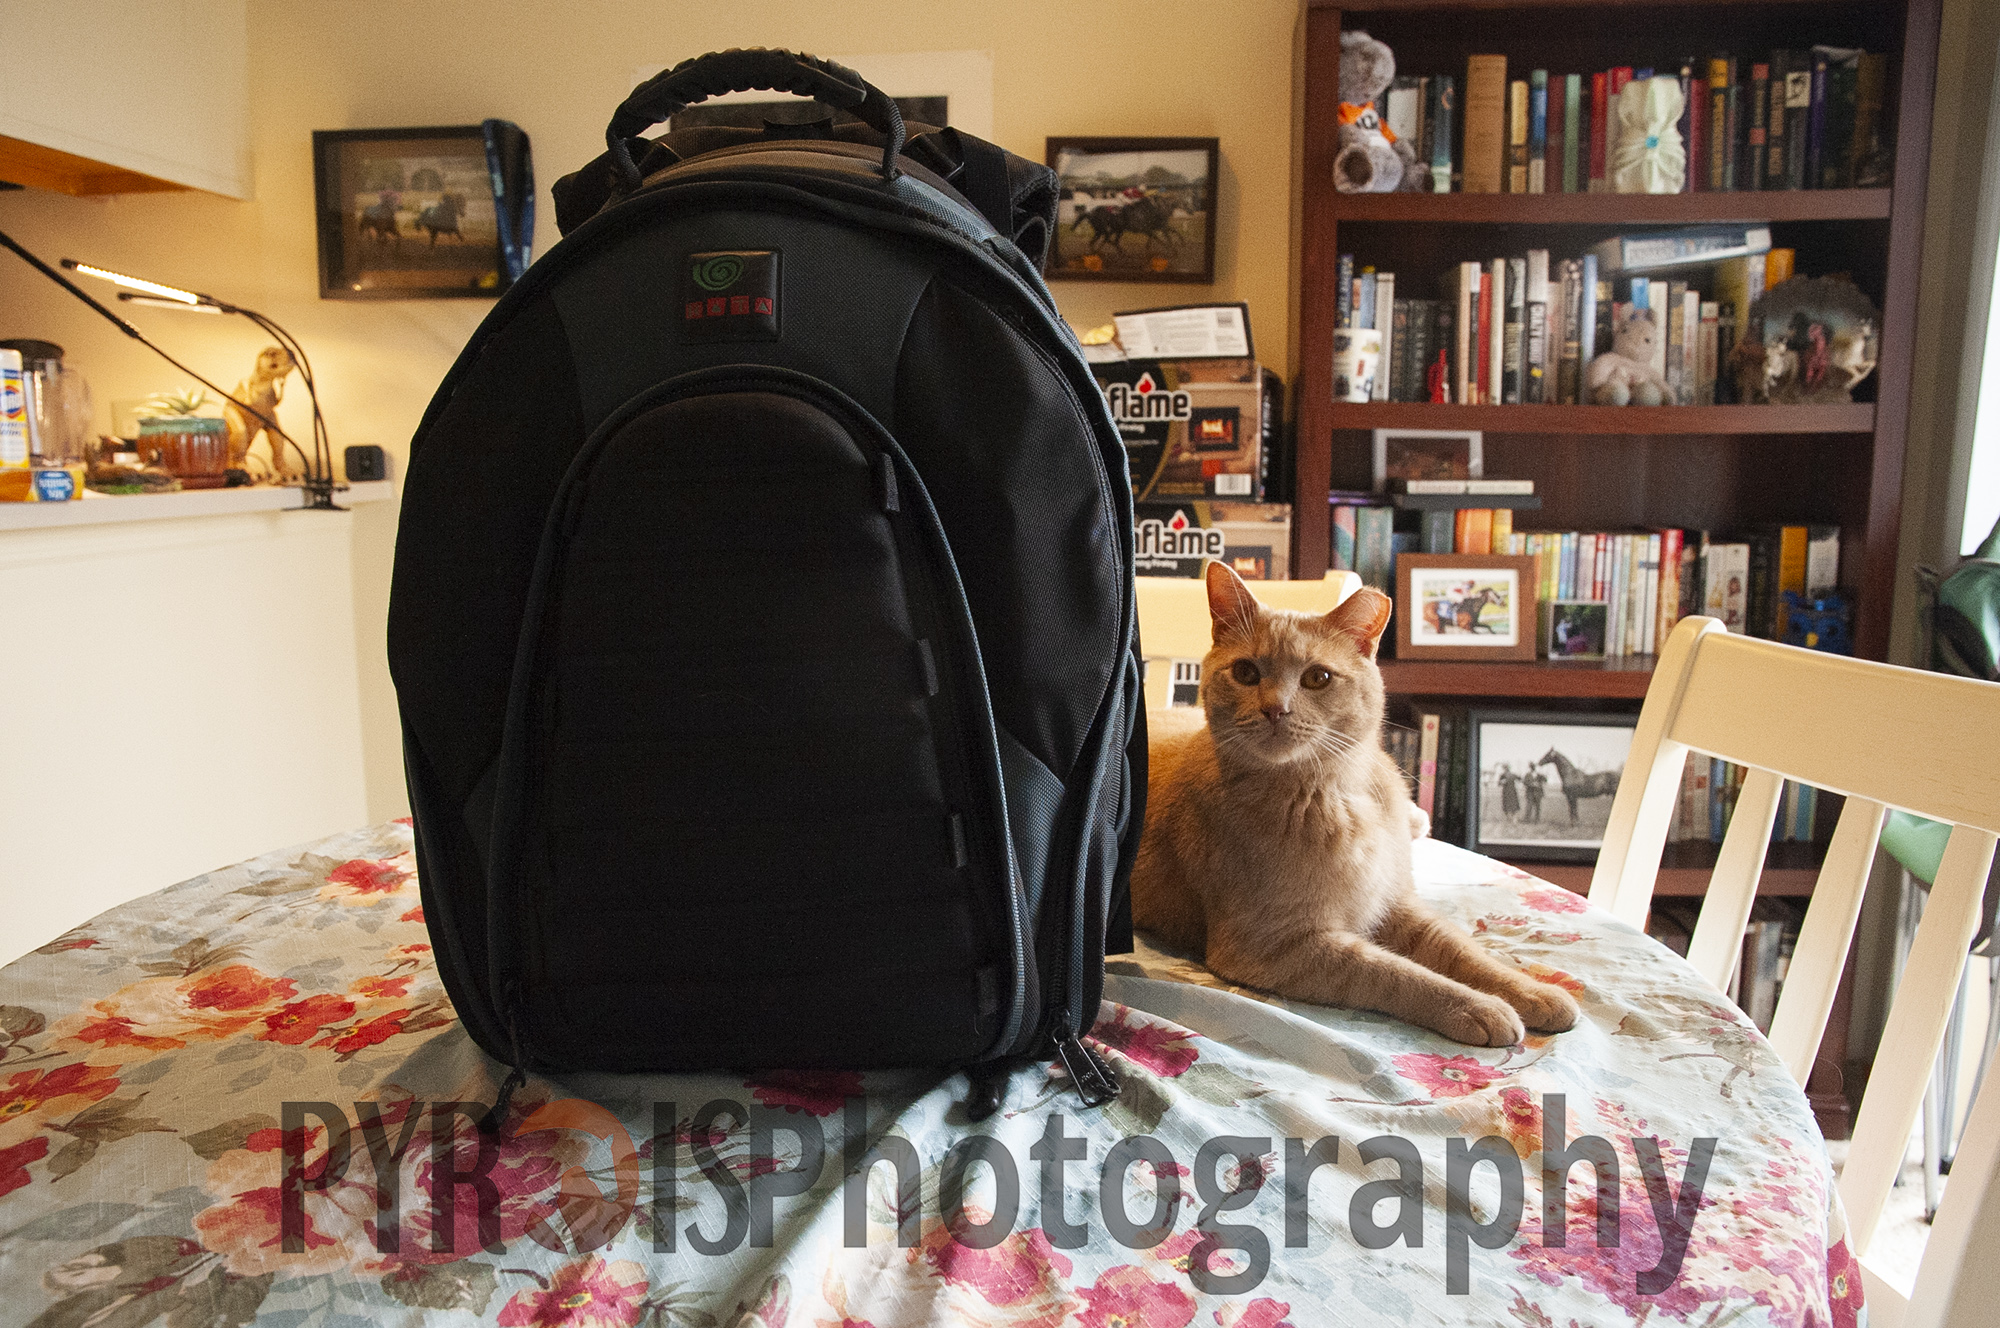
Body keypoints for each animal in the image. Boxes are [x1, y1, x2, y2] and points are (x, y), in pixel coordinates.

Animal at [1136, 560, 1568, 1048]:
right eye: (1245, 672)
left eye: (1318, 678)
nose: (1275, 710)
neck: (1336, 794)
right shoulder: (1271, 948)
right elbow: (1392, 972)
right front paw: (1477, 1006)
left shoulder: (1398, 906)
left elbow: (1464, 951)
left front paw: (1532, 992)